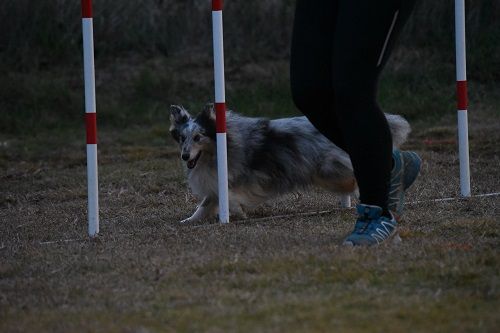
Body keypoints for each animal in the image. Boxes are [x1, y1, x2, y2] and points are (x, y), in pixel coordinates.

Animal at [169, 104, 410, 223]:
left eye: (198, 137)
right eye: (182, 138)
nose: (185, 156)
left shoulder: (232, 179)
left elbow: (223, 199)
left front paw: (235, 213)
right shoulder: (218, 183)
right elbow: (206, 203)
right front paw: (188, 221)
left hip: (328, 171)